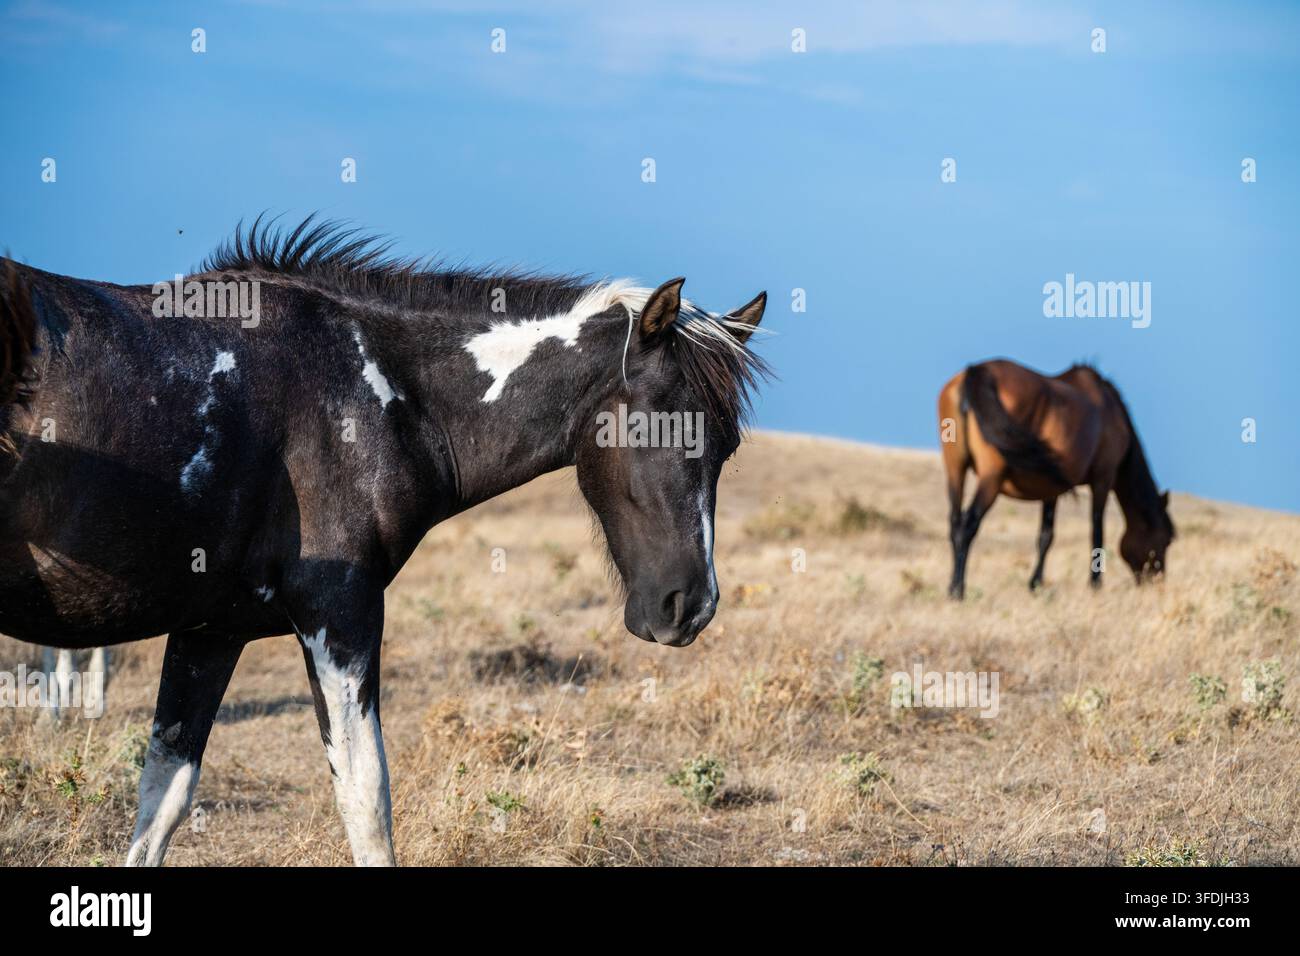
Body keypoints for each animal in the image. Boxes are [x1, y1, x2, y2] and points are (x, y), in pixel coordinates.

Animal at [0, 217, 768, 865]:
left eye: (728, 446)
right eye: (651, 425)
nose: (691, 606)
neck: (370, 386)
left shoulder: (209, 632)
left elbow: (161, 800)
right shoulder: (339, 614)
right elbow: (367, 800)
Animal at [938, 358, 1174, 600]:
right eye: (1166, 539)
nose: (1157, 582)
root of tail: (977, 370)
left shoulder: (1050, 490)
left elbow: (1046, 535)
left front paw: (1036, 584)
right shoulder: (1103, 479)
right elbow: (1097, 531)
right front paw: (1095, 584)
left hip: (955, 469)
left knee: (955, 522)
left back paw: (951, 586)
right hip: (991, 478)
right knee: (968, 525)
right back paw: (958, 589)